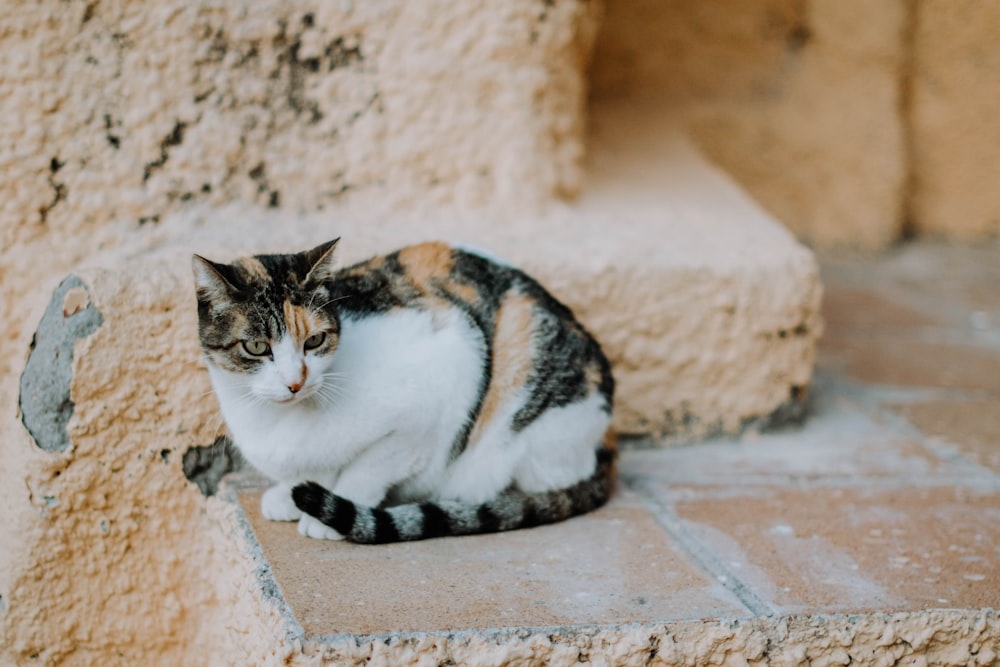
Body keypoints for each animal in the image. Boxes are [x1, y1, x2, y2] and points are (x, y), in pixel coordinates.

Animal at [191, 240, 612, 544]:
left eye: (314, 341)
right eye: (257, 347)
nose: (295, 381)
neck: (278, 422)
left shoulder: (439, 387)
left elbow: (367, 469)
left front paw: (331, 512)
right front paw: (288, 492)